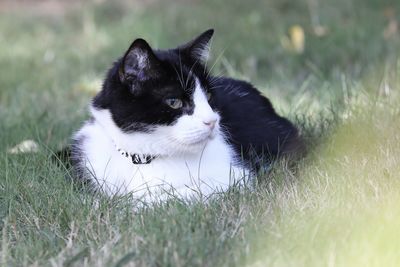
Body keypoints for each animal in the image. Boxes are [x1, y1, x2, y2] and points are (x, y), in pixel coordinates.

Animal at [69, 28, 300, 201]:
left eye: (208, 95)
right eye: (174, 102)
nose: (212, 121)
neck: (142, 158)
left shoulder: (237, 177)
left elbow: (170, 196)